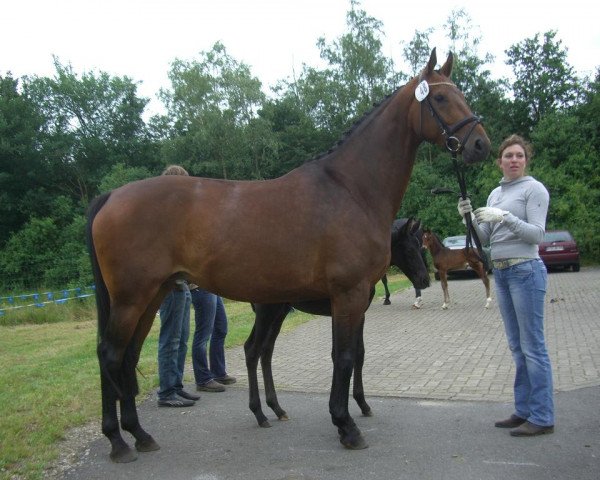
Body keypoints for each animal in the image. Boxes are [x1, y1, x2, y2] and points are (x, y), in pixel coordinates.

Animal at [246, 218, 428, 428]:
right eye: (408, 250)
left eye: (420, 246)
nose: (424, 280)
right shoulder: (347, 313)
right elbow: (345, 355)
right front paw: (356, 405)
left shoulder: (356, 315)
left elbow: (357, 354)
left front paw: (359, 405)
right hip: (267, 312)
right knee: (252, 350)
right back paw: (259, 413)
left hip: (279, 312)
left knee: (266, 351)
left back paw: (277, 408)